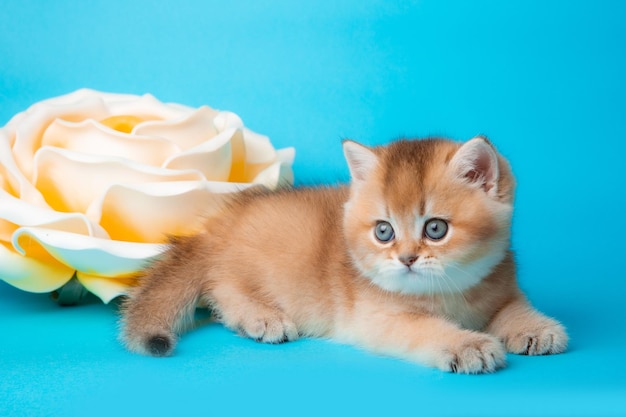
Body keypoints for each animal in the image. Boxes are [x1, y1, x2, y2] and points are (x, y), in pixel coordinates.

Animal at [120, 136, 564, 374]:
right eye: (384, 231)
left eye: (435, 229)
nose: (406, 259)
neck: (451, 290)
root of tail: (217, 225)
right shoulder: (379, 318)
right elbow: (429, 330)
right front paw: (466, 345)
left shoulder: (502, 286)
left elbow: (512, 307)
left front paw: (536, 328)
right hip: (244, 270)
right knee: (222, 290)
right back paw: (260, 317)